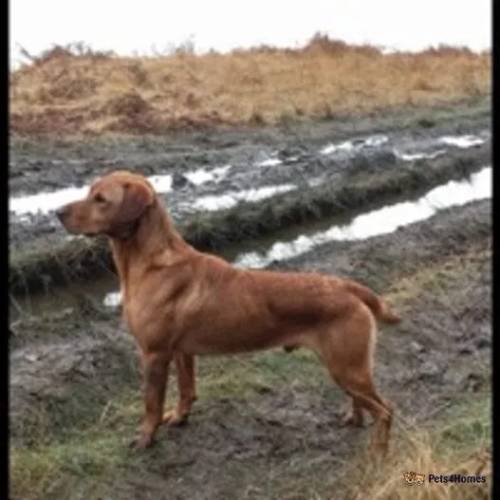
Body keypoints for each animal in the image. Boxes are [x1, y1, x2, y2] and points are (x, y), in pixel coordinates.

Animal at [56, 171, 400, 454]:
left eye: (100, 199)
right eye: (89, 192)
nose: (57, 213)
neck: (150, 262)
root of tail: (349, 287)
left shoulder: (154, 354)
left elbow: (151, 404)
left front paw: (145, 439)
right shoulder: (181, 351)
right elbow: (187, 391)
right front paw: (179, 418)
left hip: (347, 367)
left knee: (385, 410)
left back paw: (379, 453)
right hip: (345, 367)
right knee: (361, 402)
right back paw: (353, 419)